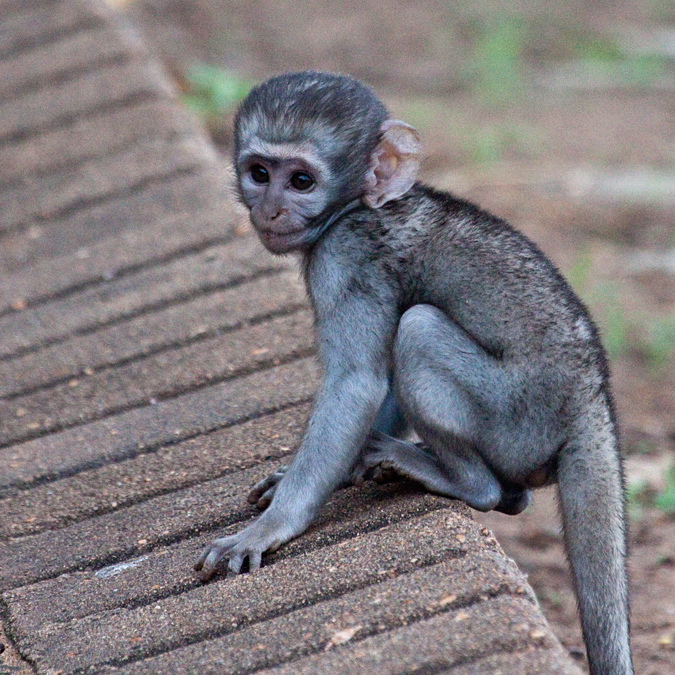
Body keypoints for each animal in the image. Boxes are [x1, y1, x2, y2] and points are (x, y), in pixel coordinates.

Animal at [195, 71, 632, 672]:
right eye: (259, 173)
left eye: (301, 181)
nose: (270, 210)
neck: (358, 207)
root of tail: (592, 400)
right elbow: (373, 384)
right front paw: (330, 470)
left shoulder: (345, 259)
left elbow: (356, 383)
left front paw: (271, 526)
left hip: (518, 419)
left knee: (419, 328)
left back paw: (465, 482)